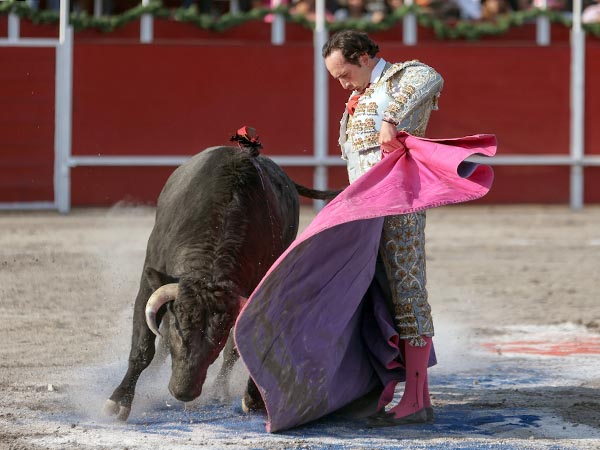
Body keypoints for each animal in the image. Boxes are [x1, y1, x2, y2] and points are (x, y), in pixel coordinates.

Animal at [103, 128, 338, 420]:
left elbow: (238, 348)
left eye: (219, 336)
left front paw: (253, 398)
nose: (184, 392)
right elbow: (143, 346)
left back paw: (218, 392)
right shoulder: (149, 282)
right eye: (180, 328)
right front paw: (118, 401)